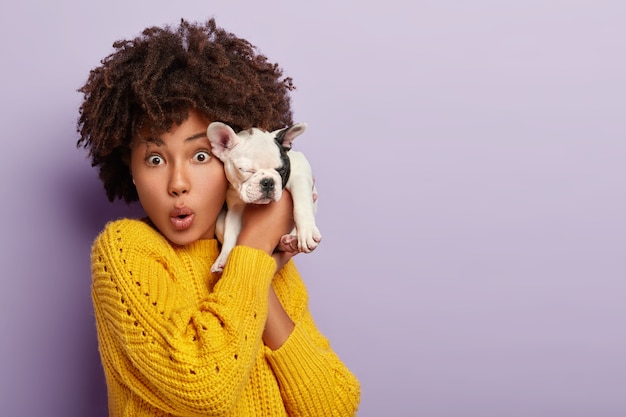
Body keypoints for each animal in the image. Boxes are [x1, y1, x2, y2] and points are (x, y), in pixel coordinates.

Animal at [207, 120, 320, 272]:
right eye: (245, 170)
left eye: (281, 170)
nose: (267, 182)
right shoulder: (235, 207)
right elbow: (230, 233)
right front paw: (223, 258)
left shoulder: (299, 173)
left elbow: (302, 205)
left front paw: (307, 232)